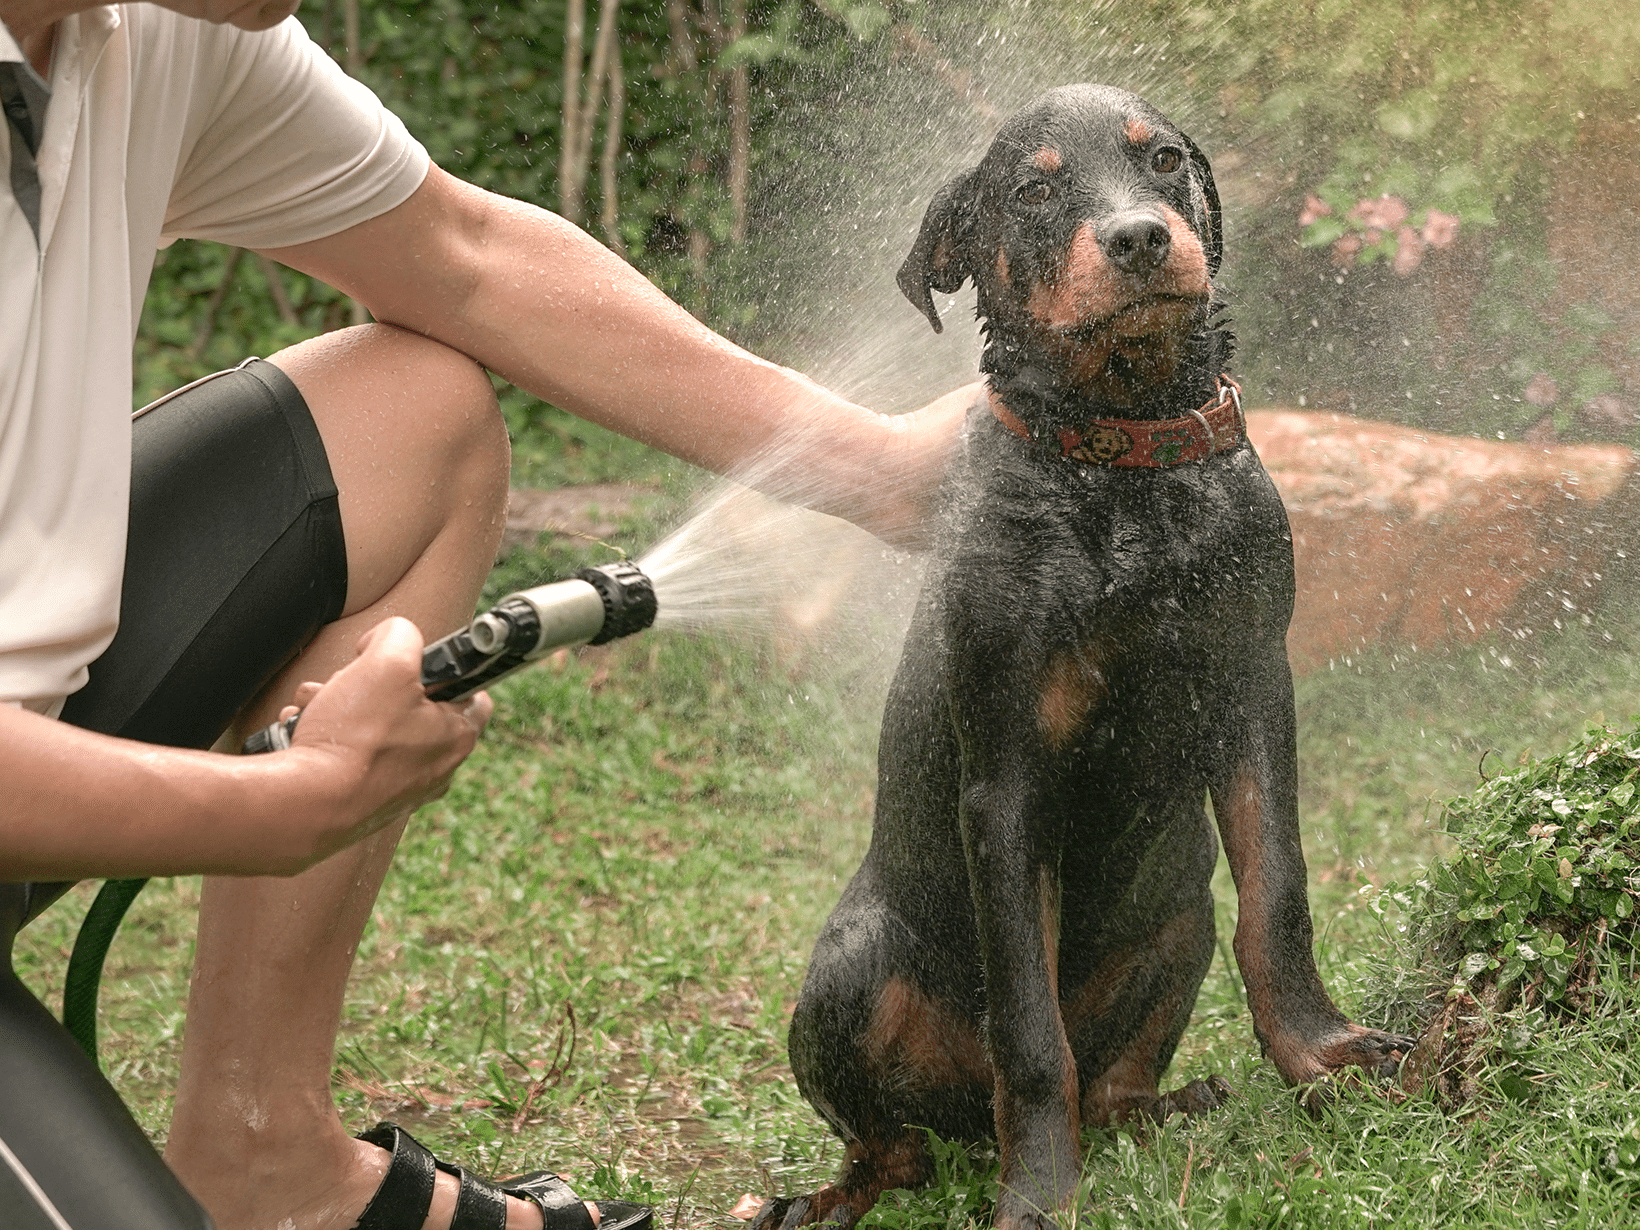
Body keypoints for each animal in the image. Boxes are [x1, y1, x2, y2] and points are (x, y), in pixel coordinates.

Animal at [751, 86, 1416, 1230]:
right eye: (1032, 190)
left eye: (1164, 162)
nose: (1142, 239)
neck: (1126, 456)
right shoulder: (1008, 774)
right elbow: (1028, 1029)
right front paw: (1038, 1196)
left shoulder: (1253, 684)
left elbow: (1277, 893)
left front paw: (1321, 1054)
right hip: (847, 975)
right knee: (896, 1146)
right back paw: (838, 1195)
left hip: (1177, 908)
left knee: (1111, 1076)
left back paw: (1164, 1108)